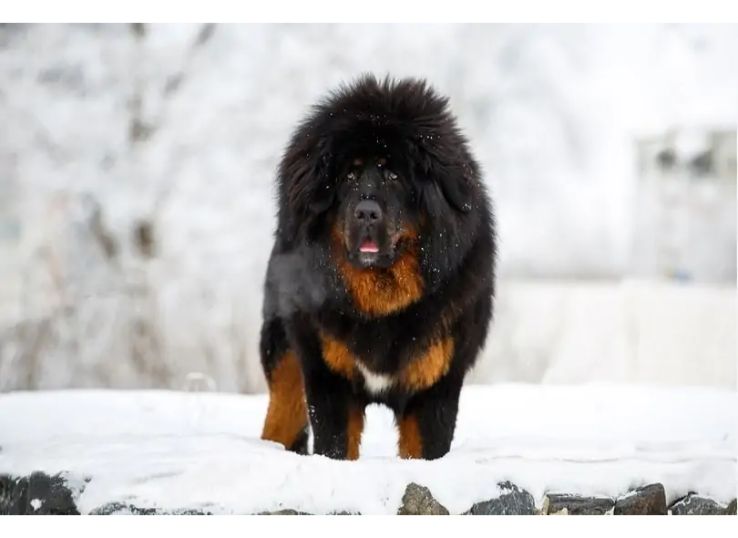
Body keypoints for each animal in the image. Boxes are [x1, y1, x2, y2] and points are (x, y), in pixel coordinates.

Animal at [258, 75, 494, 458]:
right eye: (349, 176)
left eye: (394, 176)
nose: (366, 212)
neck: (382, 301)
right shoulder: (328, 377)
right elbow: (335, 446)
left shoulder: (435, 384)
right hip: (284, 351)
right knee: (282, 413)